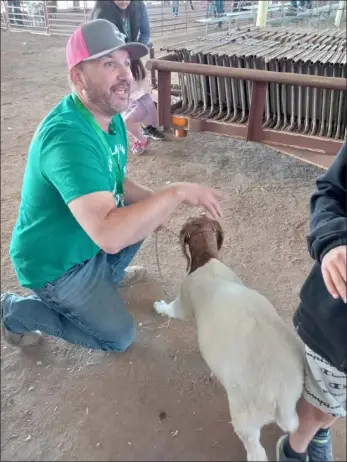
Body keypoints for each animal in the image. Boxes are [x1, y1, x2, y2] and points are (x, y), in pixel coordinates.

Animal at [154, 217, 306, 462]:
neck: (207, 259)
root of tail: (281, 396)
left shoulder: (183, 302)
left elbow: (173, 310)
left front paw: (159, 307)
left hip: (245, 419)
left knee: (256, 452)